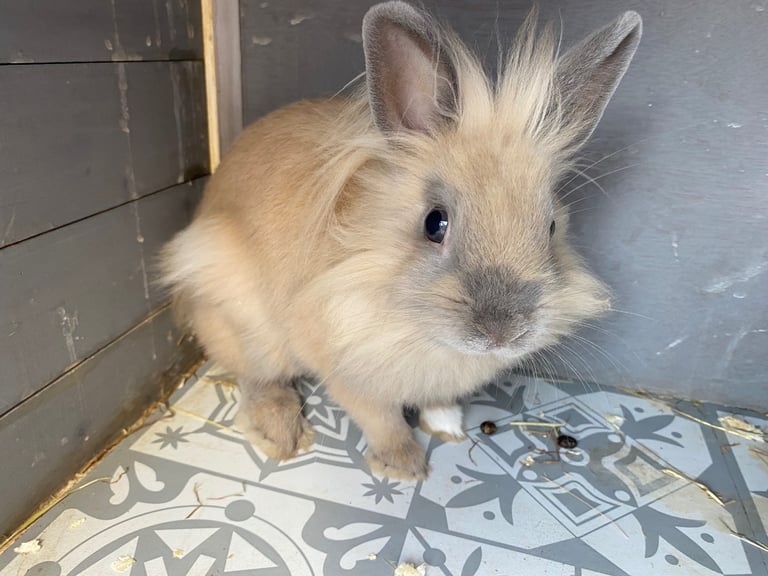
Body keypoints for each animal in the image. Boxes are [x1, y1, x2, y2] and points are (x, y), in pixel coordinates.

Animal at [159, 1, 642, 480]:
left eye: (551, 227)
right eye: (434, 223)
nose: (503, 332)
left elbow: (436, 399)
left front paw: (447, 427)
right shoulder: (346, 368)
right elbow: (379, 417)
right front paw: (404, 466)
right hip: (246, 321)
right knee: (257, 376)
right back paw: (282, 434)